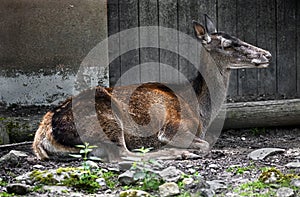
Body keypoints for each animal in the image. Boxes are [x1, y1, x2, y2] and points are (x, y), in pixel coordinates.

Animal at [32, 15, 272, 162]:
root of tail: (42, 138)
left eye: (237, 37)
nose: (267, 54)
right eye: (227, 44)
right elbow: (205, 145)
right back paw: (180, 153)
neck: (201, 112)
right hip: (106, 120)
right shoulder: (173, 126)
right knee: (122, 155)